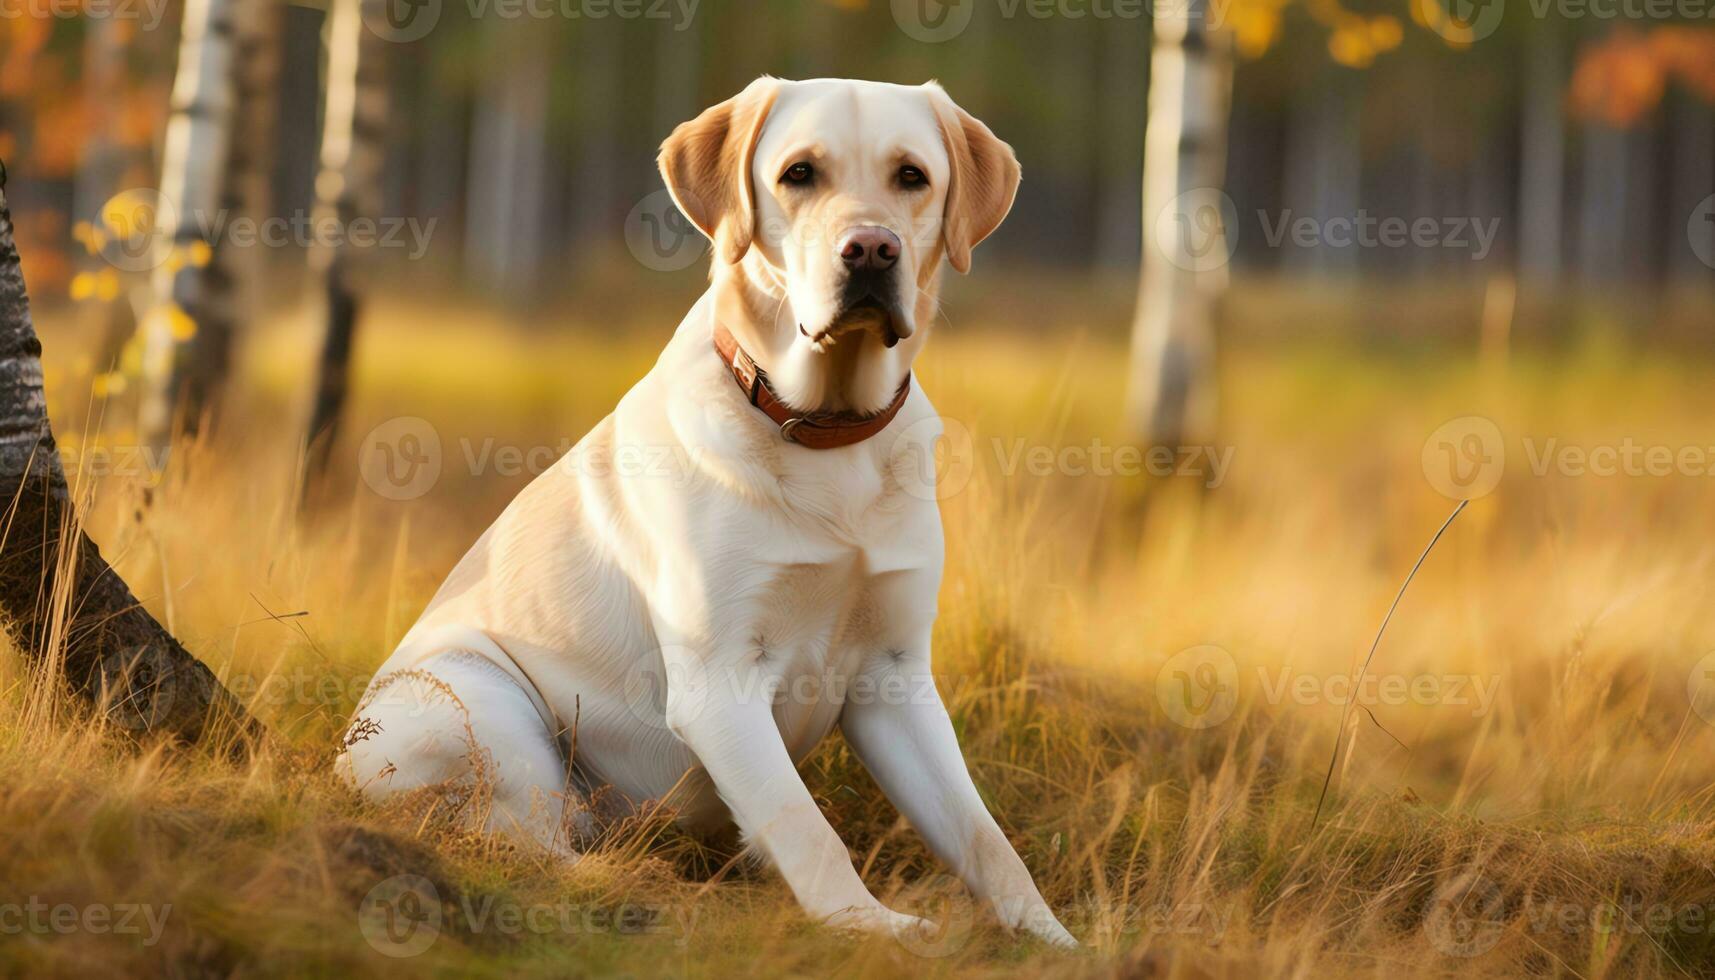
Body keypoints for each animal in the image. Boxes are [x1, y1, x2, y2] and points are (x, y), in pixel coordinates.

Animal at [337, 78, 1070, 954]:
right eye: (799, 174)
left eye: (911, 177)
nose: (869, 250)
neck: (825, 428)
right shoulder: (718, 681)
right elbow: (802, 823)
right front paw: (867, 927)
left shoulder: (895, 676)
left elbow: (983, 836)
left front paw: (1052, 939)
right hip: (478, 707)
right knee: (533, 852)